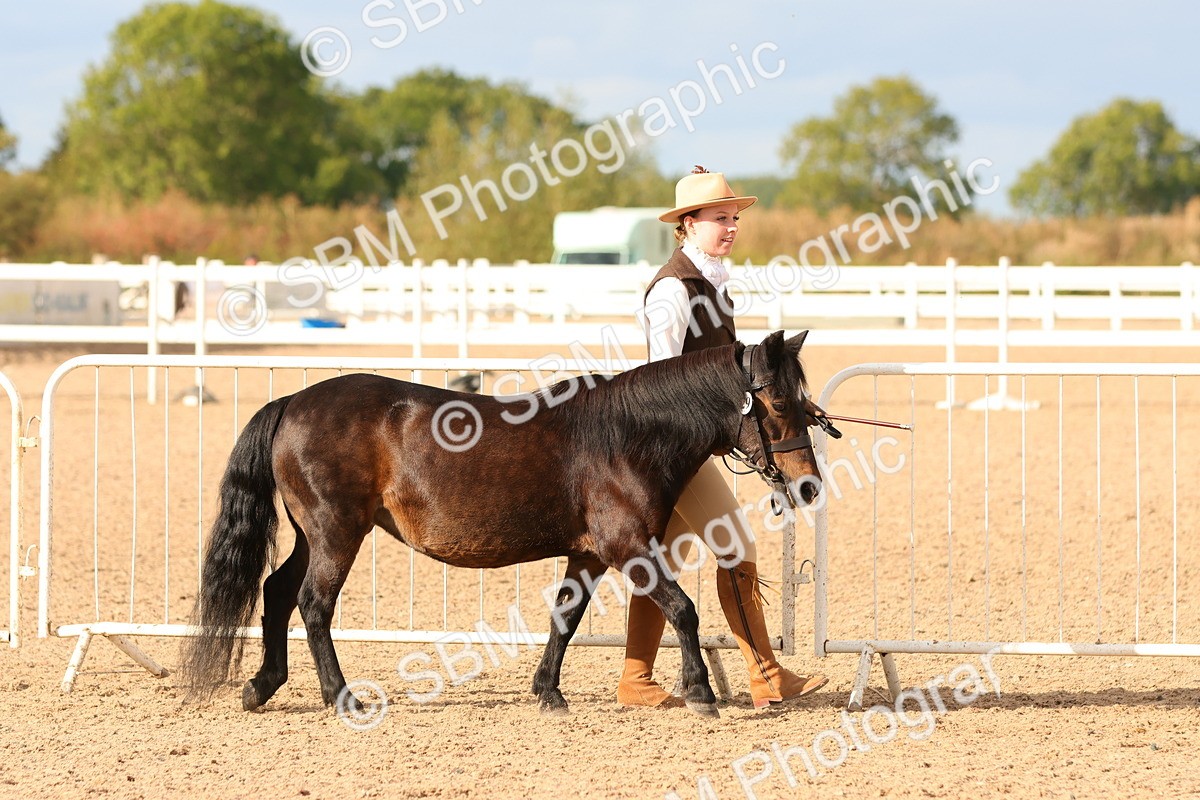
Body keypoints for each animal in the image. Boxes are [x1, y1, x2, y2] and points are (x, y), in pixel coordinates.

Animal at [180, 330, 825, 719]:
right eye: (779, 404)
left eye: (805, 401)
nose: (808, 485)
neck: (627, 434)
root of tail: (293, 401)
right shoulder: (628, 547)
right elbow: (683, 610)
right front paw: (699, 693)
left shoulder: (589, 554)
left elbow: (565, 619)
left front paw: (548, 691)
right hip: (336, 533)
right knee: (312, 604)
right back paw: (341, 697)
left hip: (311, 535)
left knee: (276, 590)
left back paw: (262, 684)